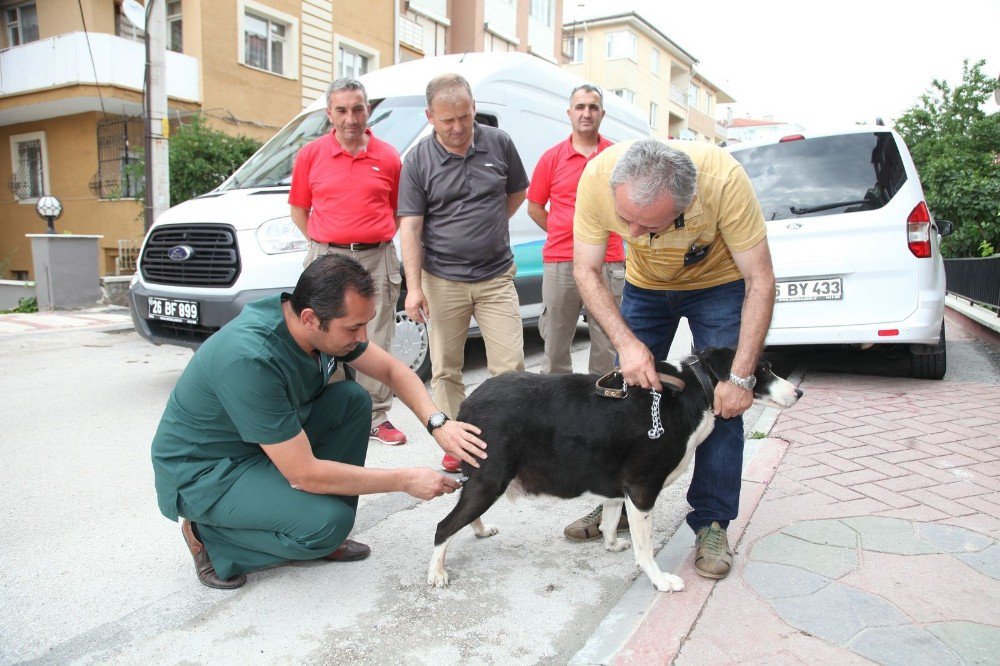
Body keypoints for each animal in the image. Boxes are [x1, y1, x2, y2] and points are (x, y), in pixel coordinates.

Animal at [426, 344, 800, 588]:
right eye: (762, 371)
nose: (798, 393)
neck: (693, 390)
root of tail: (467, 404)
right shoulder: (642, 488)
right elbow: (644, 547)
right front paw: (659, 580)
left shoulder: (618, 487)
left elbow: (609, 516)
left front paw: (610, 542)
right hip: (491, 479)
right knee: (443, 526)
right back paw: (437, 572)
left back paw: (478, 529)